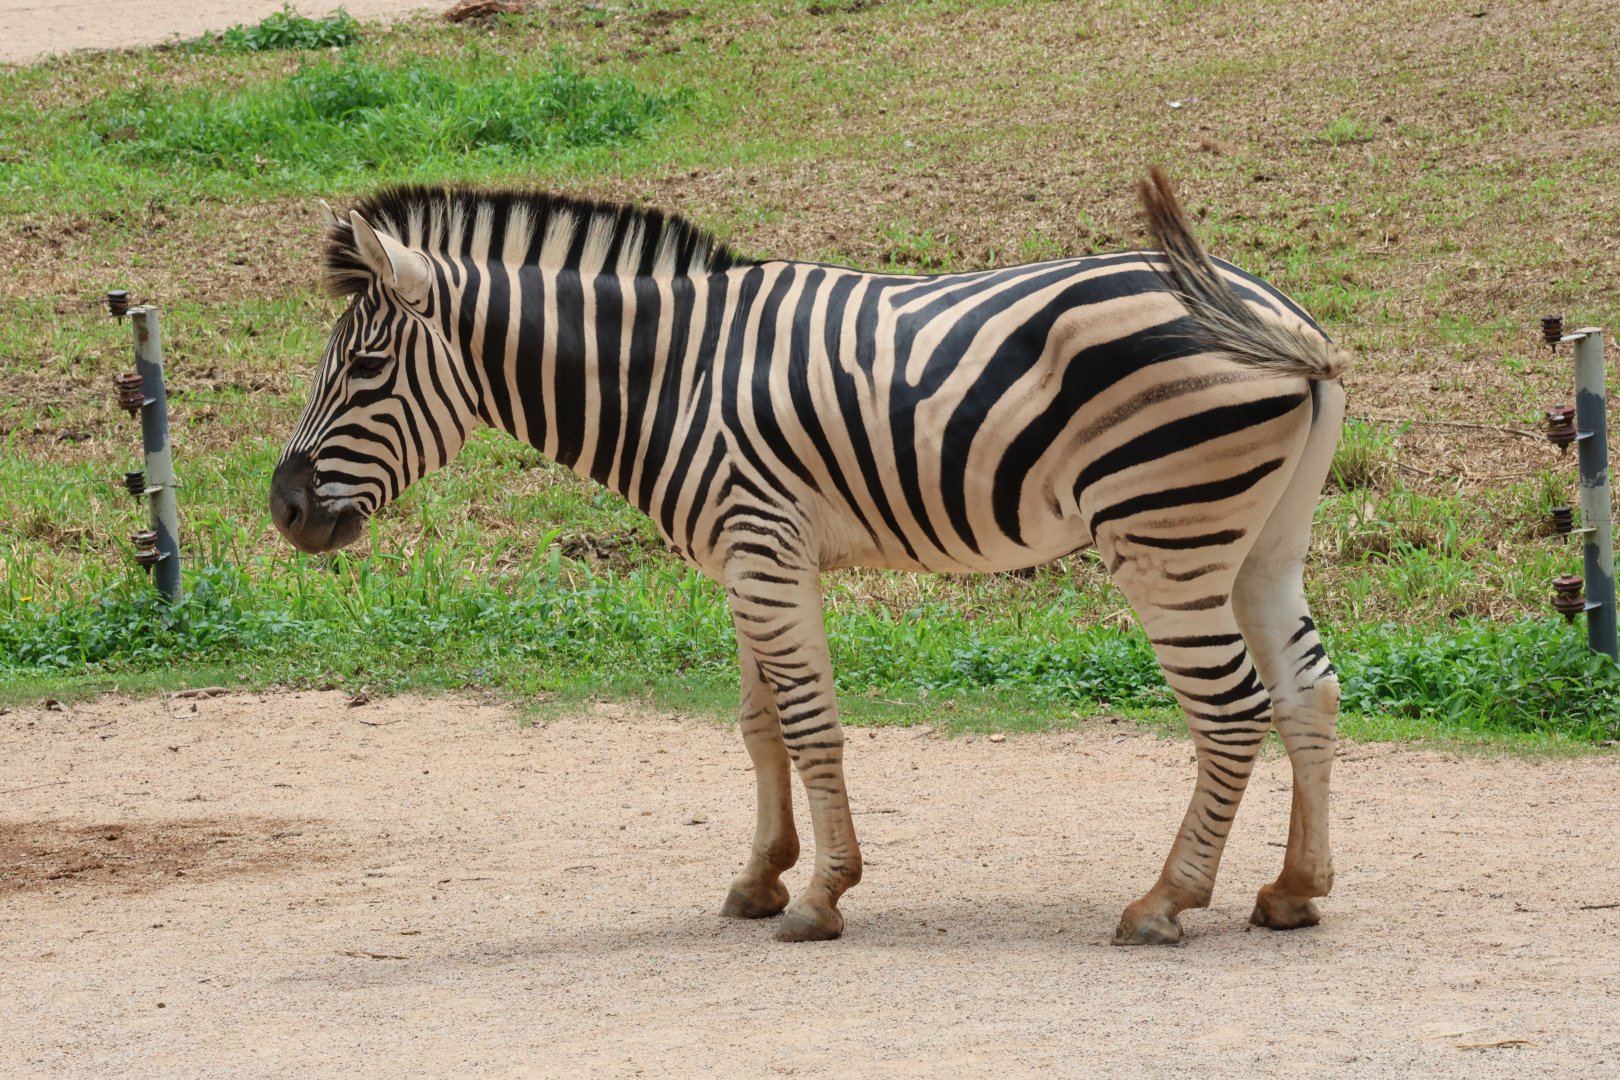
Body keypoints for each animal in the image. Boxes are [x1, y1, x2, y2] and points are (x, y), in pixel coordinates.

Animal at [270, 169, 1348, 946]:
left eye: (365, 367)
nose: (282, 509)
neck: (668, 378)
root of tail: (1277, 316)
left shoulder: (761, 546)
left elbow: (809, 725)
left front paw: (823, 896)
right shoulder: (749, 560)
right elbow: (758, 727)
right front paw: (759, 877)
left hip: (1163, 534)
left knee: (1232, 709)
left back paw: (1165, 902)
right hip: (1263, 540)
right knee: (1310, 689)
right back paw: (1293, 890)